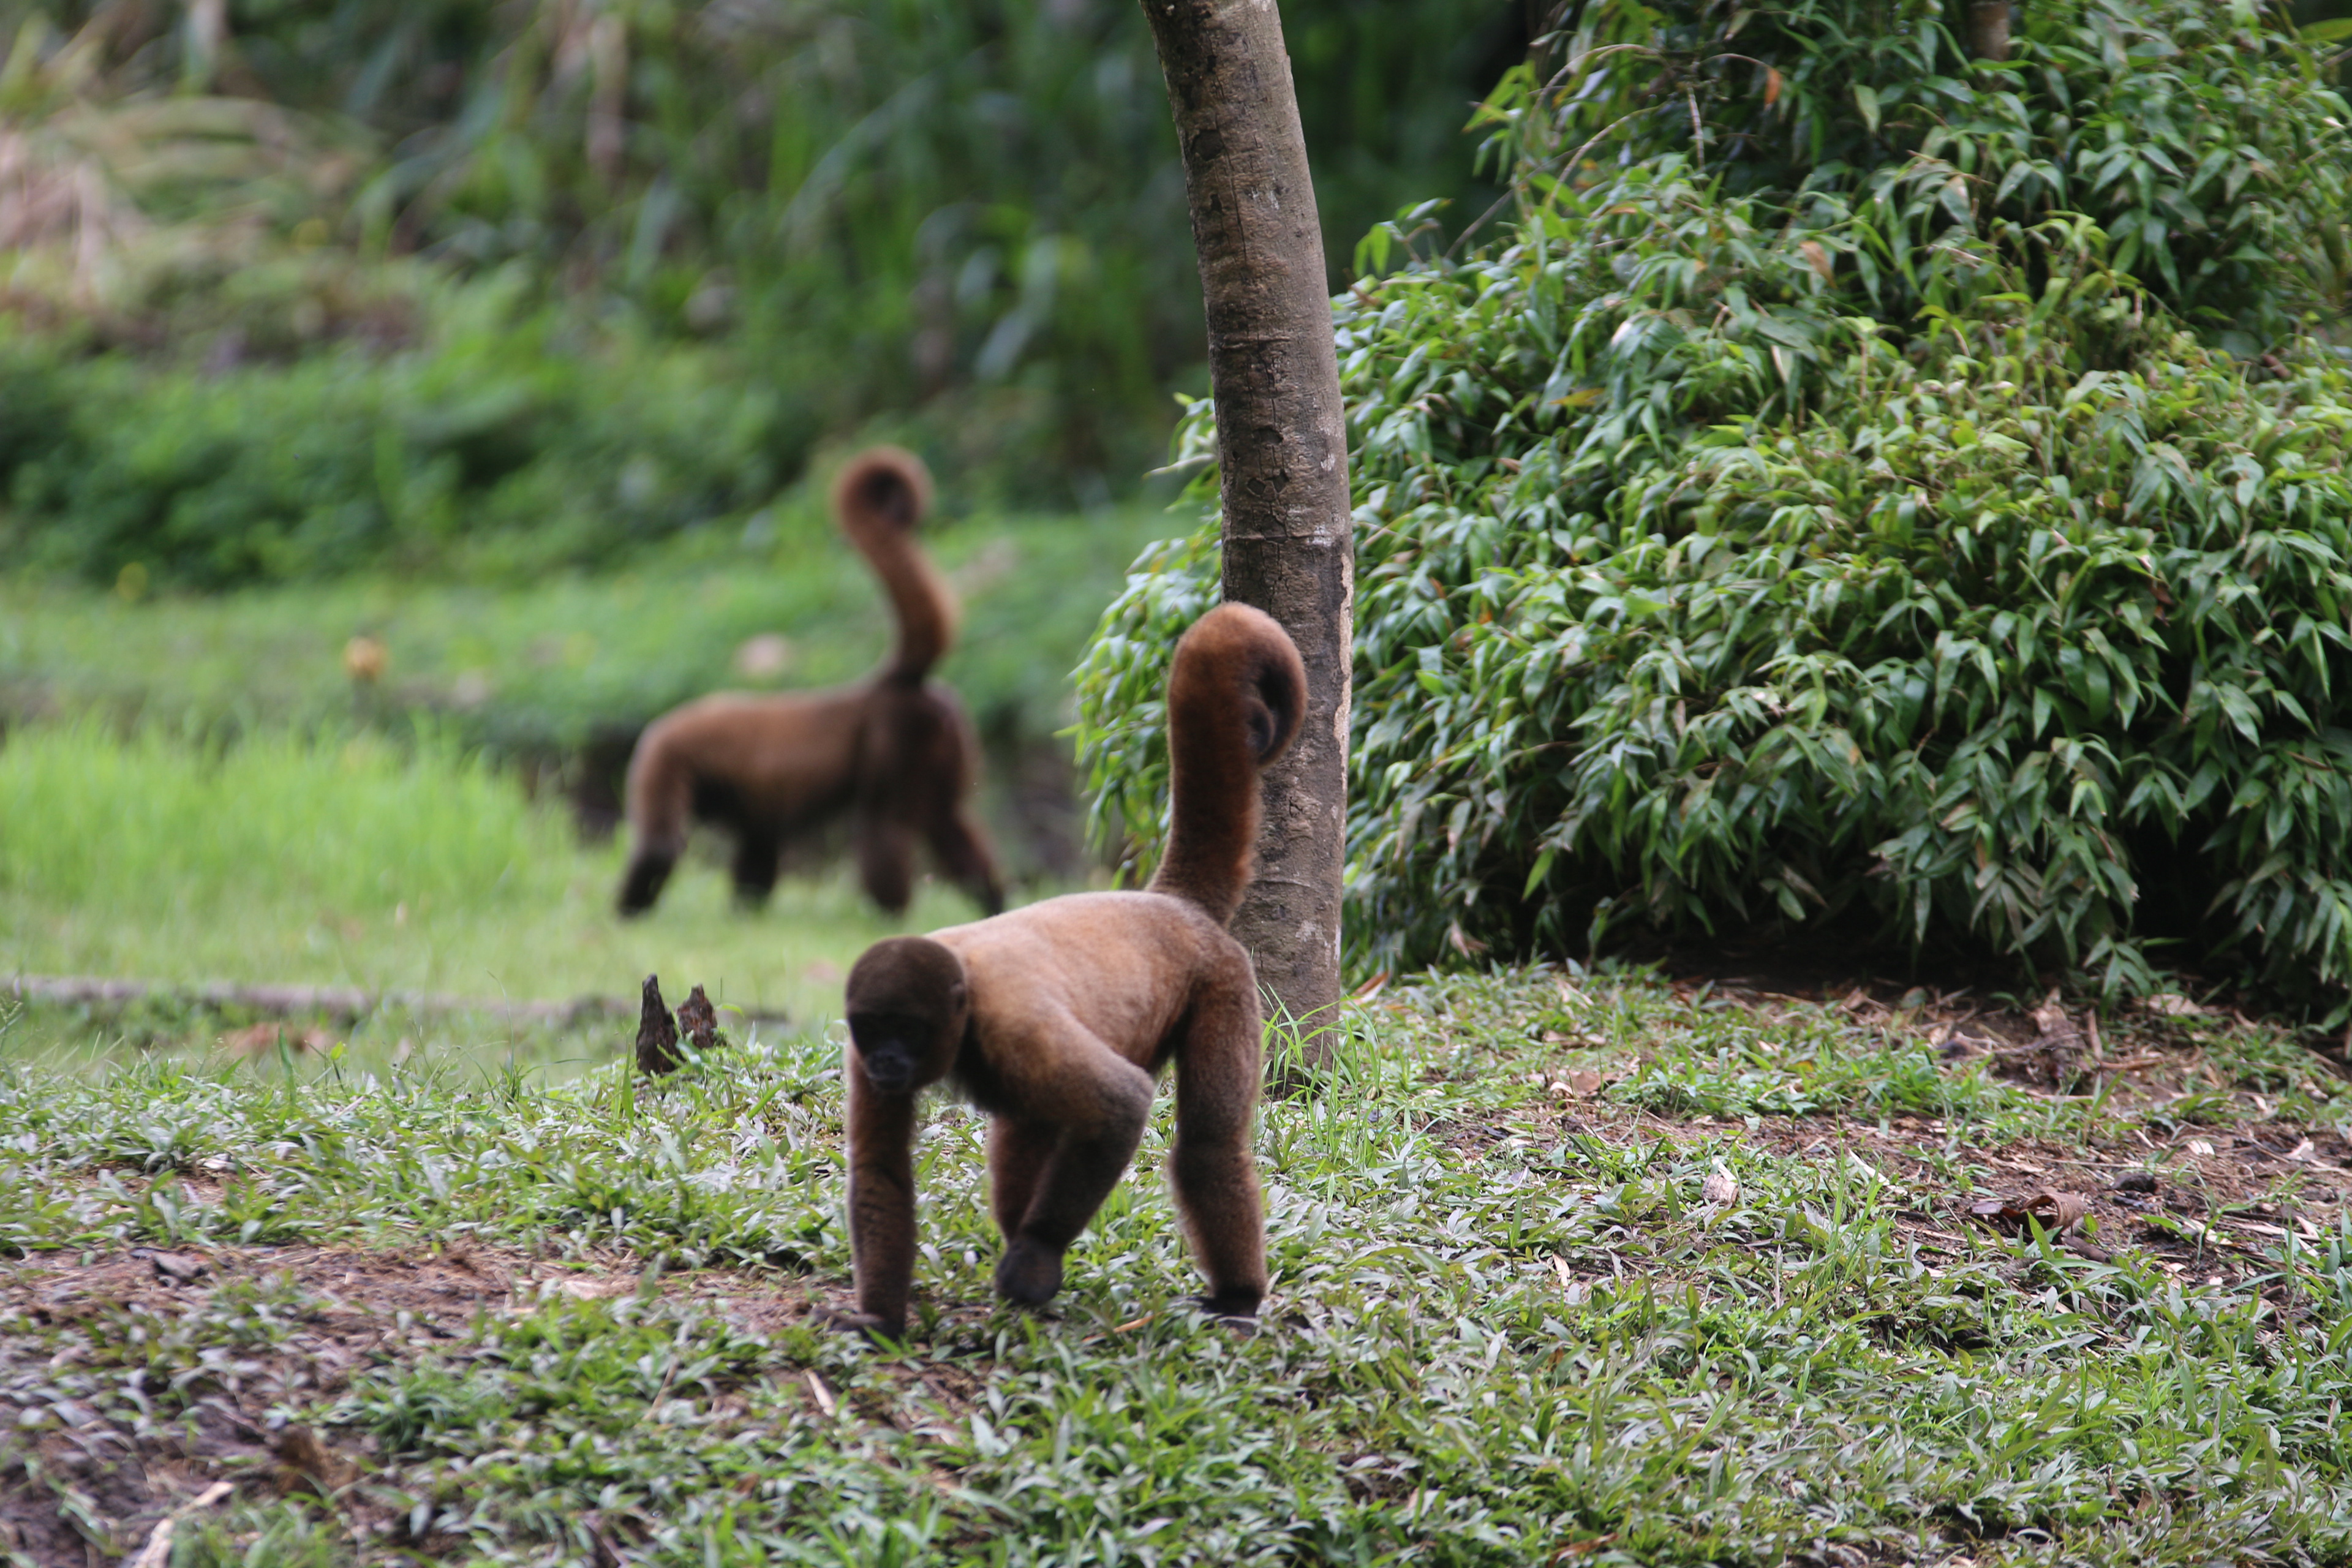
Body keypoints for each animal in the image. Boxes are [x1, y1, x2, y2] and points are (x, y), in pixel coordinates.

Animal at [616, 447, 1005, 919]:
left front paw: (625, 915)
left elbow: (658, 848)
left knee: (884, 822)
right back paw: (993, 900)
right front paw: (746, 912)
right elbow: (760, 841)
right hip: (944, 734)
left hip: (897, 735)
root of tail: (884, 684)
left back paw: (888, 913)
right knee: (947, 820)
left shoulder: (663, 756)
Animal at [832, 602, 1305, 1339]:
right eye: (873, 1028)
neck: (964, 994)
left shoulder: (1014, 1022)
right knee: (1023, 1128)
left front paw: (1035, 1260)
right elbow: (882, 1170)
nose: (886, 1060)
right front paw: (879, 1318)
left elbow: (1122, 1106)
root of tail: (1168, 902)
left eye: (906, 1029)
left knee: (1205, 1144)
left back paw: (1237, 1296)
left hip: (1223, 981)